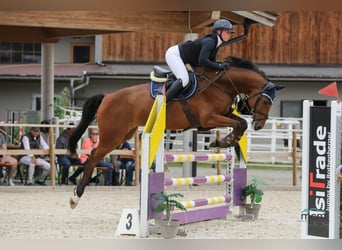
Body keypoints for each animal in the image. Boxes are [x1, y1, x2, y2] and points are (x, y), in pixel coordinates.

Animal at [67, 55, 284, 208]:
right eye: (266, 101)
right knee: (93, 157)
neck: (219, 84)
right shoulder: (208, 119)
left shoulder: (221, 116)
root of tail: (107, 96)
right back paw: (75, 197)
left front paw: (223, 142)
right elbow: (240, 124)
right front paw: (223, 141)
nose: (260, 125)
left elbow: (240, 123)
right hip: (112, 136)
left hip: (124, 134)